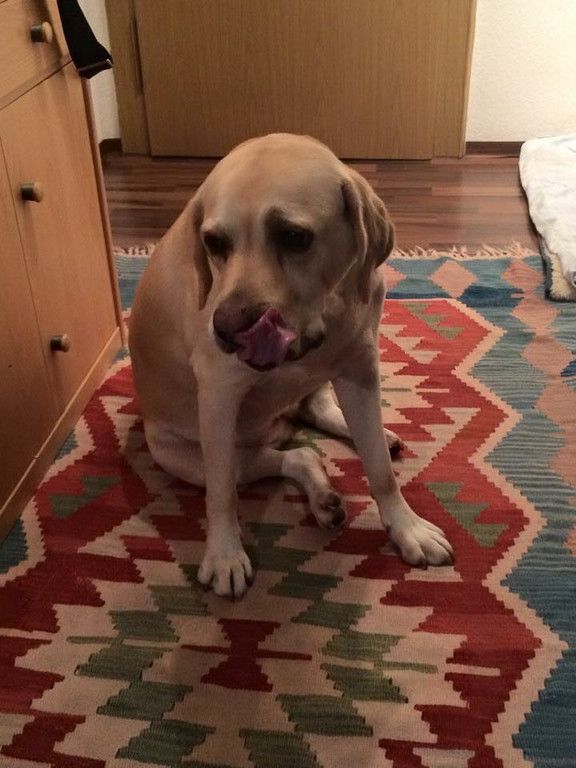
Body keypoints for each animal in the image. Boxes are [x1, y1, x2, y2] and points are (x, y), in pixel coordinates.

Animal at [129, 133, 453, 597]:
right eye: (214, 242)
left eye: (295, 236)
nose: (226, 328)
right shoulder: (219, 396)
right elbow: (222, 495)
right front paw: (225, 555)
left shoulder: (360, 370)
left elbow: (380, 469)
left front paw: (406, 528)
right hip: (183, 456)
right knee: (291, 457)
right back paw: (320, 495)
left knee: (315, 417)